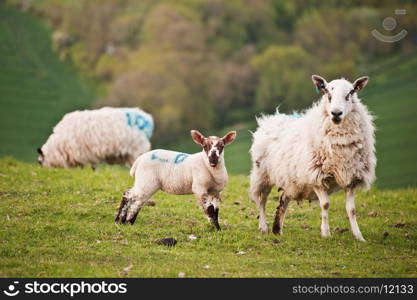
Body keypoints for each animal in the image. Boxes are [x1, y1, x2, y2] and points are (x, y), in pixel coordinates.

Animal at [249, 75, 376, 241]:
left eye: (350, 93)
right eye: (327, 93)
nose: (336, 113)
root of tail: (273, 117)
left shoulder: (352, 178)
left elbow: (351, 209)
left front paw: (358, 236)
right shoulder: (315, 175)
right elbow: (325, 204)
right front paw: (326, 233)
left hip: (292, 182)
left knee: (283, 198)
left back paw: (278, 229)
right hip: (262, 175)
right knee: (261, 201)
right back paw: (263, 227)